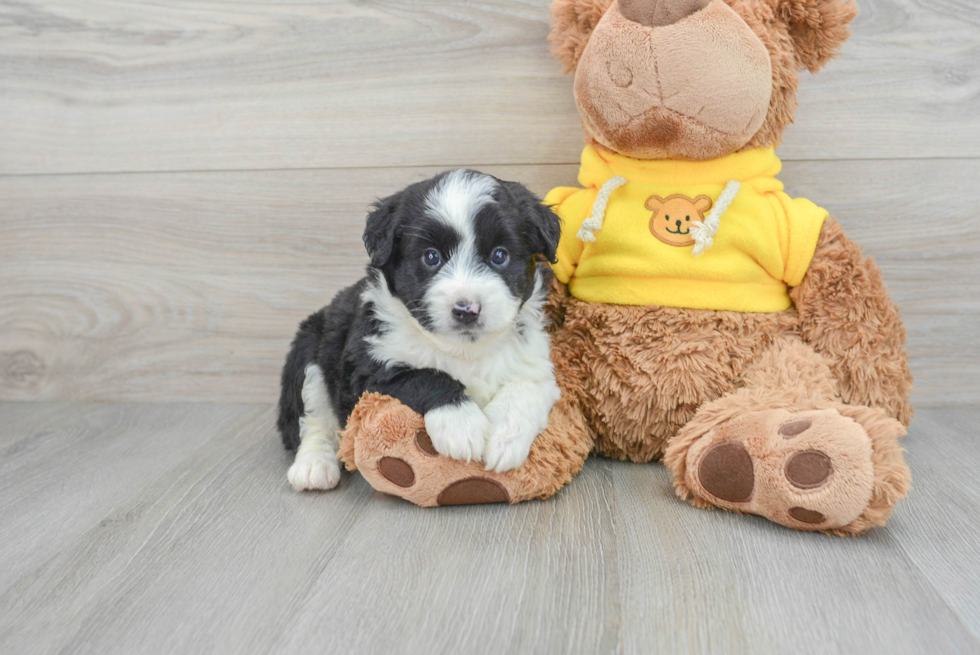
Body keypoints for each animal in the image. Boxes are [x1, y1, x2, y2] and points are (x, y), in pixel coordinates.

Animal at [280, 172, 564, 490]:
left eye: (499, 256)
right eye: (431, 257)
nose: (466, 309)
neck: (463, 350)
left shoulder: (536, 365)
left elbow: (523, 390)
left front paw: (505, 440)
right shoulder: (367, 369)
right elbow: (423, 375)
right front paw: (461, 425)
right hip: (309, 351)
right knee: (313, 419)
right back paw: (314, 465)